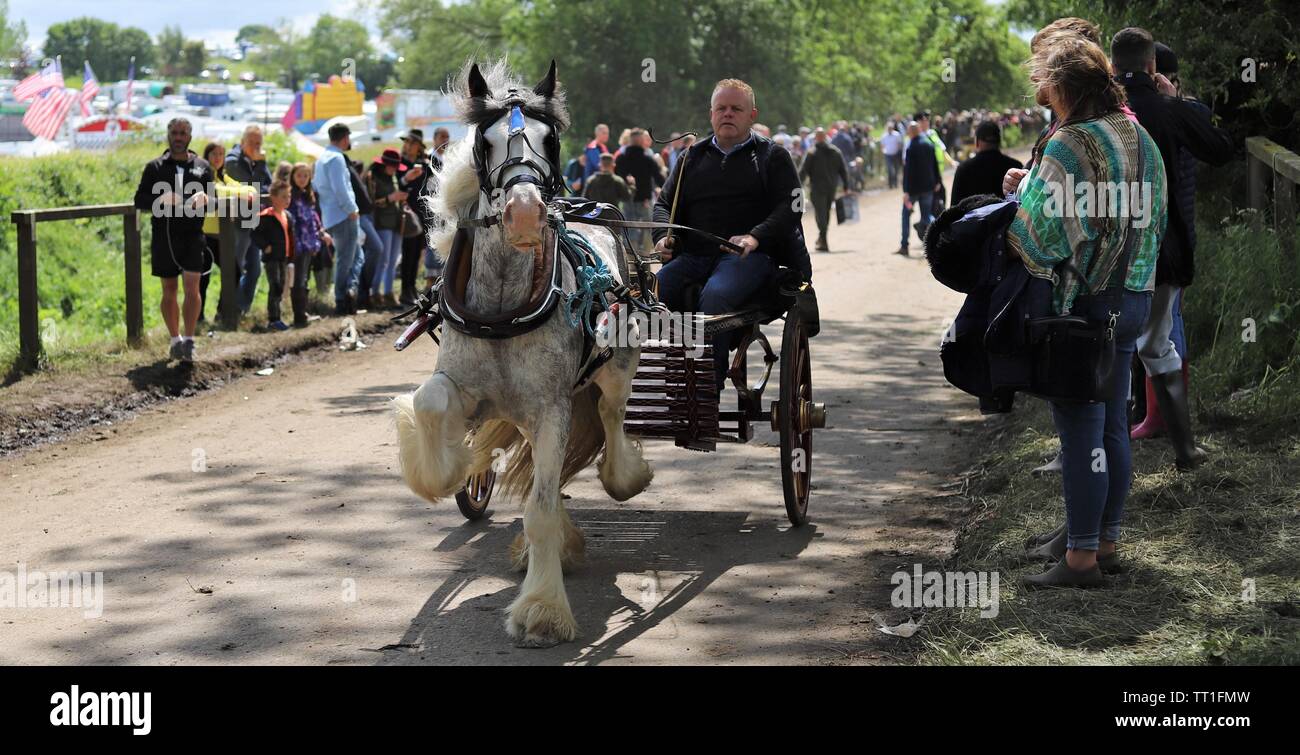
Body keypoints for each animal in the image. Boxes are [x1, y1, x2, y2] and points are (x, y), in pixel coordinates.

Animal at [384, 61, 650, 644]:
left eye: (551, 140)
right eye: (484, 143)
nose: (526, 213)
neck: (504, 303)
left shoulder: (552, 407)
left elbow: (541, 508)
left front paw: (544, 609)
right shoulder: (462, 384)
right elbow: (430, 405)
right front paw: (459, 466)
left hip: (615, 365)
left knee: (611, 414)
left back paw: (626, 474)